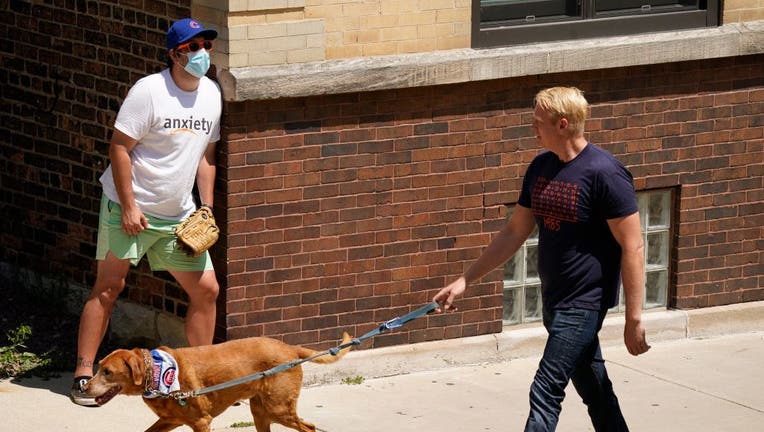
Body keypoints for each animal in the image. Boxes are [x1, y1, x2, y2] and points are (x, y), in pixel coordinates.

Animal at [85, 334, 354, 432]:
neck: (158, 373)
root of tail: (290, 348)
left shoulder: (201, 422)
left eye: (107, 372)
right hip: (261, 411)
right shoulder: (169, 420)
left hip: (279, 408)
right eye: (99, 367)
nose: (83, 386)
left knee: (309, 428)